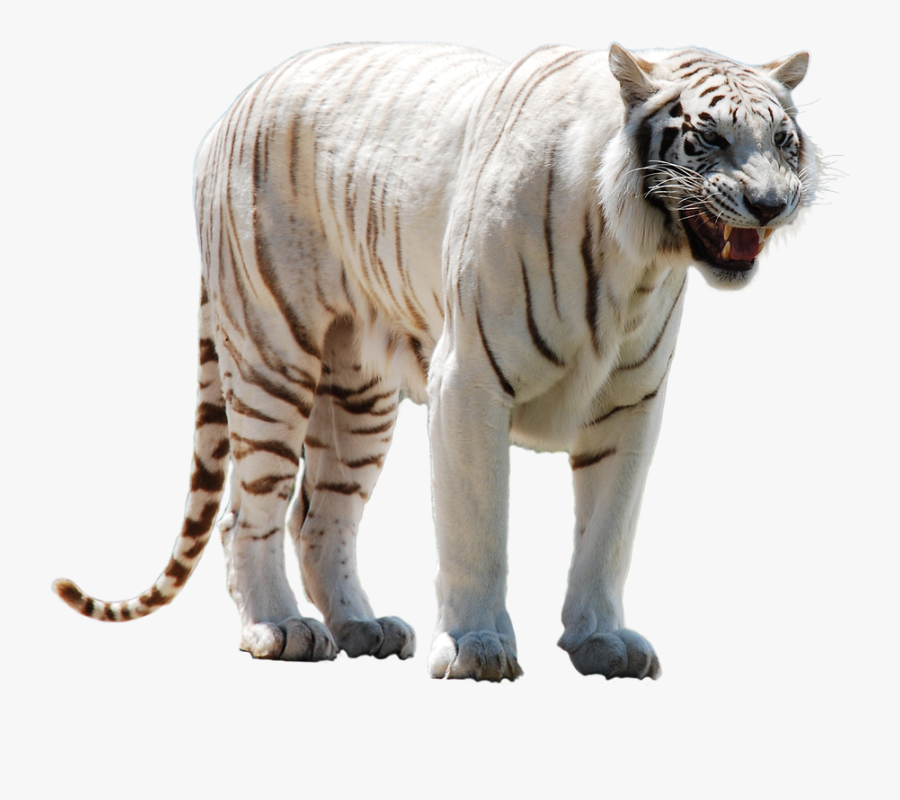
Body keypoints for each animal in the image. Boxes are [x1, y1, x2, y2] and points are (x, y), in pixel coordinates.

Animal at [53, 42, 819, 681]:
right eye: (709, 136)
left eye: (783, 141)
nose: (770, 203)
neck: (637, 256)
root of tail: (240, 101)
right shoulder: (470, 382)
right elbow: (478, 527)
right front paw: (477, 648)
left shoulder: (631, 405)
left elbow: (608, 534)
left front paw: (602, 640)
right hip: (273, 352)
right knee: (247, 513)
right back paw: (279, 628)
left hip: (358, 397)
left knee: (319, 519)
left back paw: (362, 628)